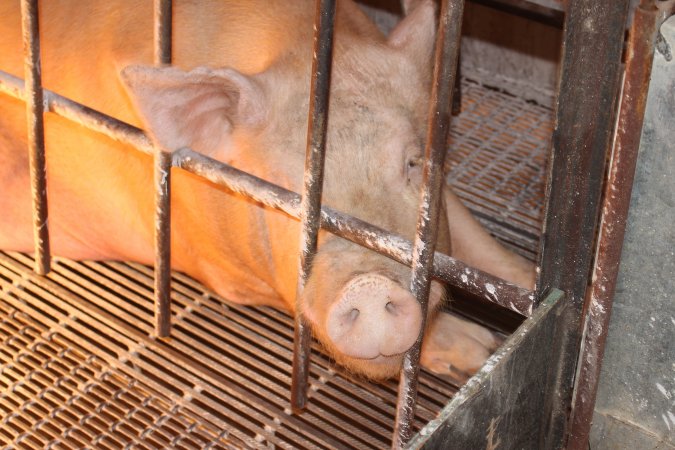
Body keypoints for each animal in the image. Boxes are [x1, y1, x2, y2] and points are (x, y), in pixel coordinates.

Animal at [0, 0, 540, 382]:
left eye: (413, 162)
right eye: (287, 192)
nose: (368, 284)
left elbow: (479, 249)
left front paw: (514, 310)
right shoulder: (222, 271)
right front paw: (479, 348)